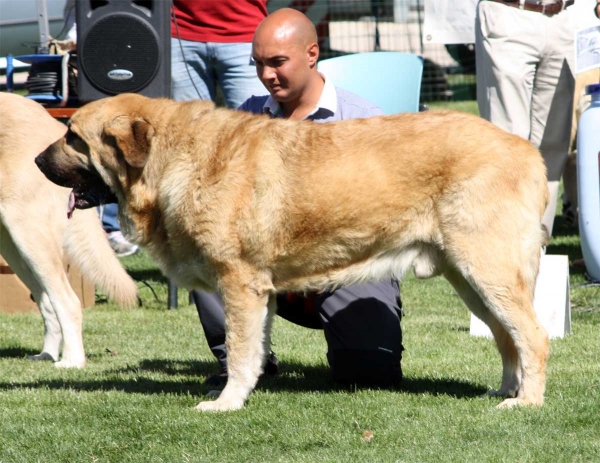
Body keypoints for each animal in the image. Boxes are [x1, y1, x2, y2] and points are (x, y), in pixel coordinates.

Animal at [0, 93, 137, 370]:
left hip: (27, 232)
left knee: (68, 301)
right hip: (12, 243)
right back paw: (47, 354)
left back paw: (72, 360)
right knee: (46, 301)